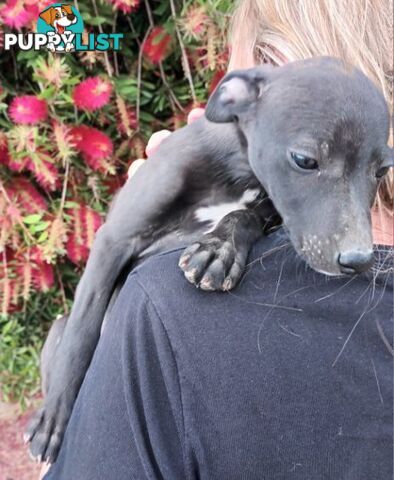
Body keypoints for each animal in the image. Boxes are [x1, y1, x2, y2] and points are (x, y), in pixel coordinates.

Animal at [26, 57, 392, 464]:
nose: (359, 259)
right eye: (304, 159)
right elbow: (82, 334)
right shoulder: (112, 240)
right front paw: (54, 419)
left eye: (382, 170)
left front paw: (219, 250)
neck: (236, 172)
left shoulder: (263, 209)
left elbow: (244, 217)